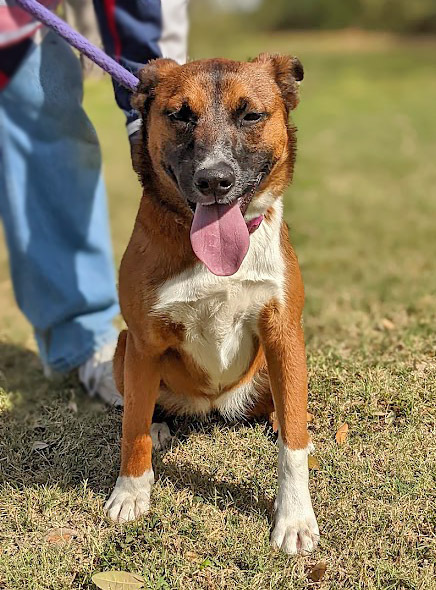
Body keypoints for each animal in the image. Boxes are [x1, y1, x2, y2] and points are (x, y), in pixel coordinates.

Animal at [104, 53, 318, 556]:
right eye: (180, 115)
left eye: (251, 115)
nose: (215, 180)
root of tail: (213, 406)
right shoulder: (143, 341)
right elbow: (132, 428)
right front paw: (131, 492)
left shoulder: (284, 333)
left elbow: (293, 447)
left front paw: (295, 518)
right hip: (123, 350)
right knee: (141, 405)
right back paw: (161, 424)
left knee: (286, 412)